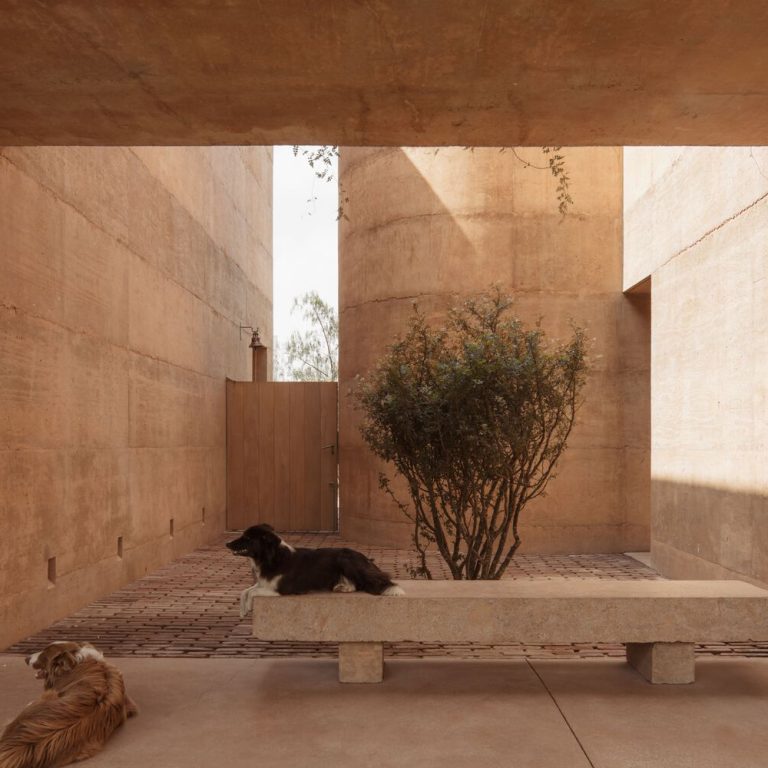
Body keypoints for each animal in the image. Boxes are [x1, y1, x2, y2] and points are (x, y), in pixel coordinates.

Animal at [228, 524, 404, 616]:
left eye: (247, 538)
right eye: (243, 536)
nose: (226, 544)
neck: (270, 558)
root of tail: (366, 558)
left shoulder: (281, 589)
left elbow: (252, 592)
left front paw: (248, 607)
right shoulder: (264, 583)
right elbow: (244, 591)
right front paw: (242, 610)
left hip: (346, 559)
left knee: (365, 583)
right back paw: (342, 587)